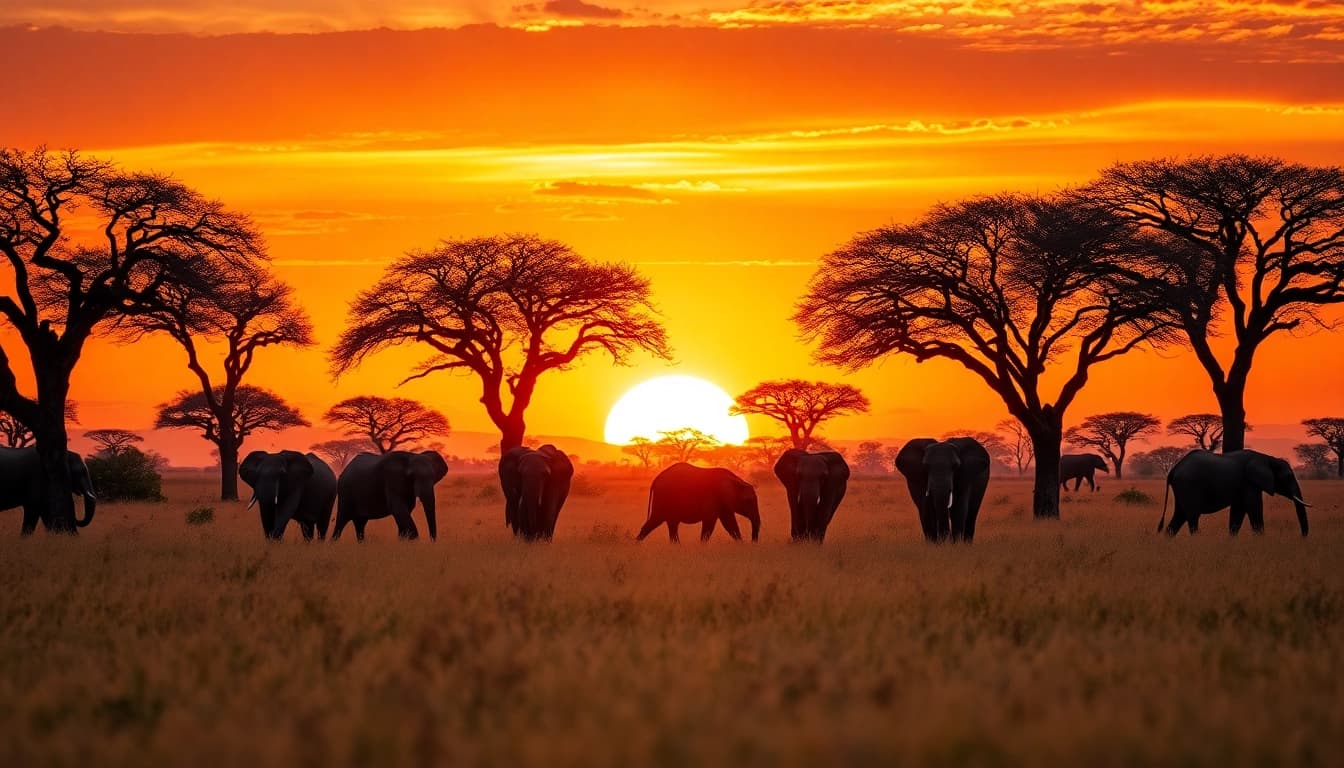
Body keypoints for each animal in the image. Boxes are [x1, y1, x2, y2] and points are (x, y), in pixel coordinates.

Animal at [1158, 450, 1310, 537]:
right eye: (1289, 476)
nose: (1302, 537)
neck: (1268, 458)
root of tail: (1174, 469)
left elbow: (1239, 511)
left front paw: (1232, 540)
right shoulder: (1249, 482)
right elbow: (1254, 507)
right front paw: (1261, 540)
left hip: (1182, 488)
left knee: (1180, 515)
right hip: (1189, 486)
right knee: (1192, 516)